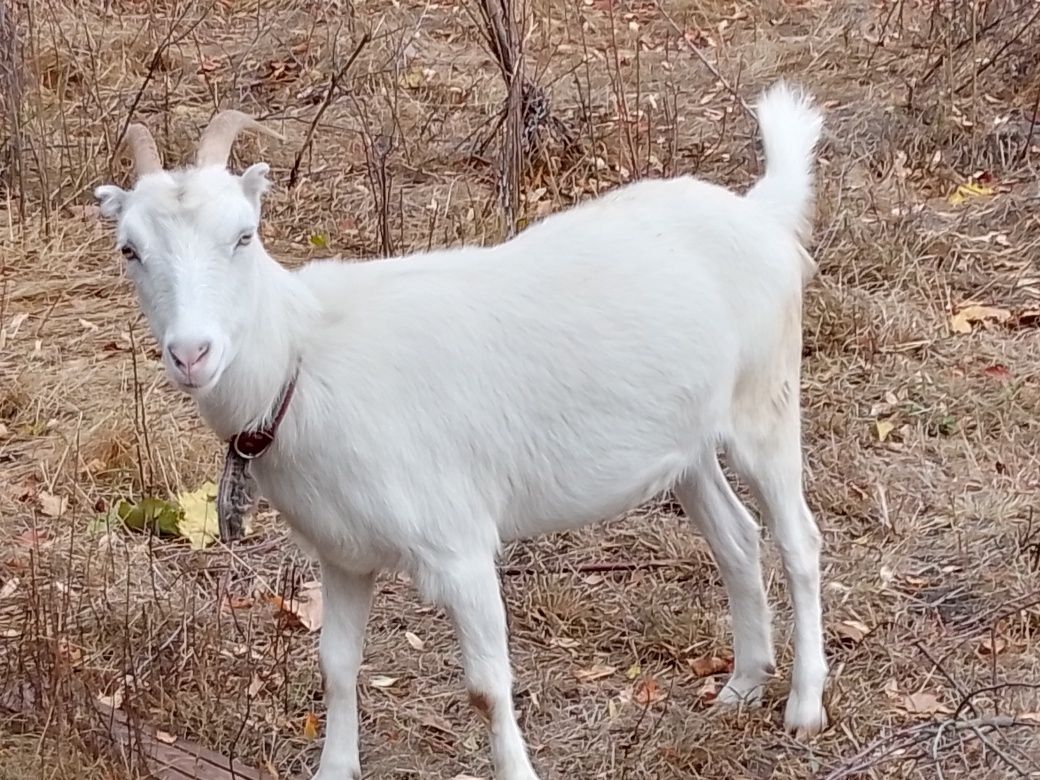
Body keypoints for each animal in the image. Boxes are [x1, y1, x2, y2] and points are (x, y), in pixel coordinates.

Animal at [97, 82, 827, 777]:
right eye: (129, 249)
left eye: (244, 235)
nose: (192, 353)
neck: (302, 358)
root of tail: (760, 212)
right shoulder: (342, 553)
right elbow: (336, 664)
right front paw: (335, 768)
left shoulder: (459, 545)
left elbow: (485, 686)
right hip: (687, 446)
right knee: (736, 537)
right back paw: (743, 684)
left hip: (765, 400)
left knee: (800, 540)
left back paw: (804, 707)